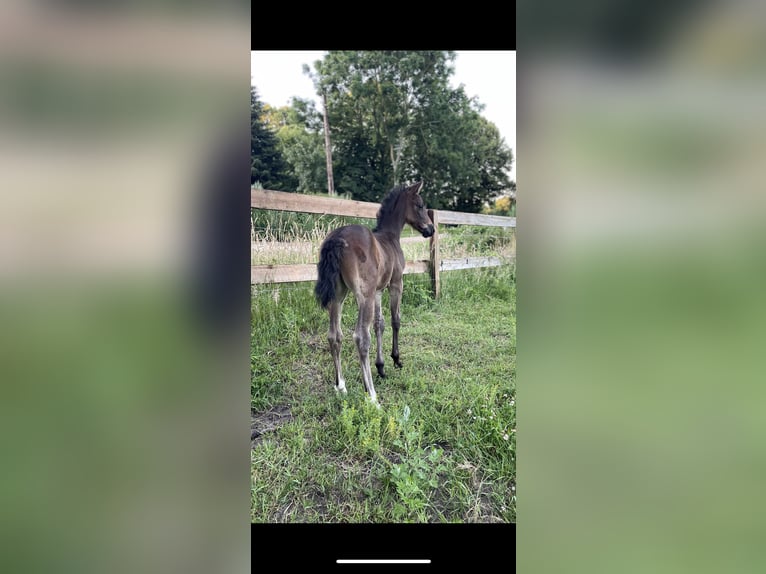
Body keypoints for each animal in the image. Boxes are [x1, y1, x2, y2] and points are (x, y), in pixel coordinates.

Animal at [314, 181, 435, 406]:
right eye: (420, 205)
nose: (431, 229)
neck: (390, 236)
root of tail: (337, 238)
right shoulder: (395, 284)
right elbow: (395, 320)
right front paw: (396, 359)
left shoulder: (379, 290)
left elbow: (380, 324)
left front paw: (381, 367)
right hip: (364, 296)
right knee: (361, 337)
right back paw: (371, 395)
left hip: (339, 295)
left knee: (335, 335)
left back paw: (340, 386)